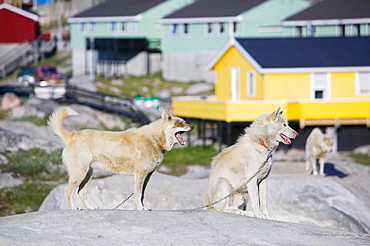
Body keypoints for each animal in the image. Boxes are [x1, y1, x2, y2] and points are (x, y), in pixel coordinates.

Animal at [47, 106, 194, 210]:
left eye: (184, 121)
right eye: (179, 123)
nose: (192, 126)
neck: (154, 139)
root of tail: (72, 135)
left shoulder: (147, 176)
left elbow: (142, 194)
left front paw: (143, 207)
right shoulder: (140, 175)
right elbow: (138, 194)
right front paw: (140, 208)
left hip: (88, 174)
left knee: (81, 192)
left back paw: (90, 207)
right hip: (79, 173)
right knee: (69, 191)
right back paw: (74, 207)